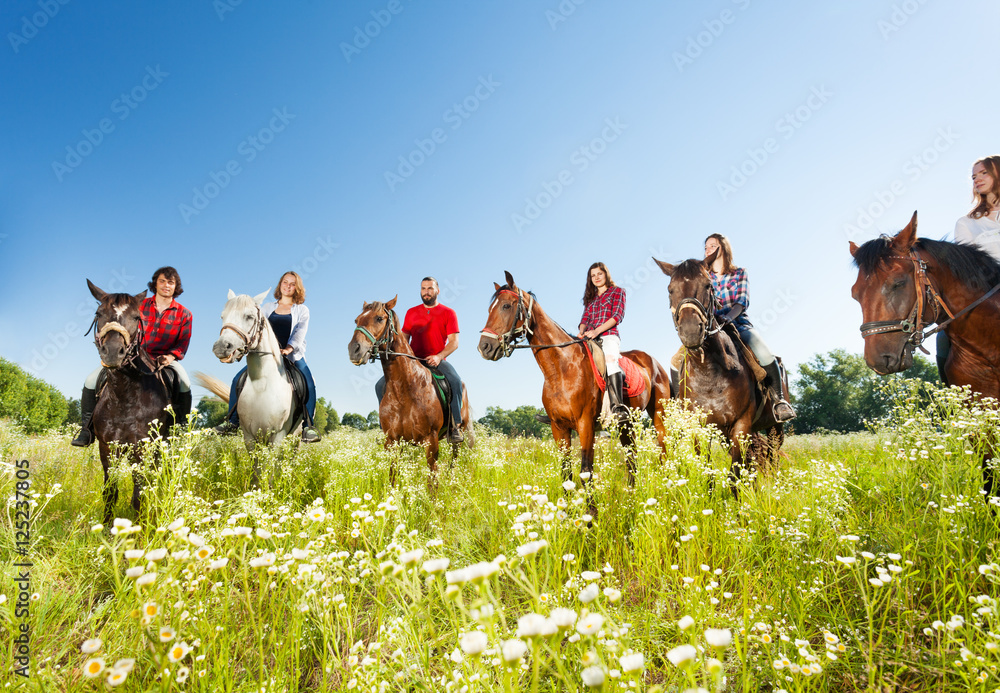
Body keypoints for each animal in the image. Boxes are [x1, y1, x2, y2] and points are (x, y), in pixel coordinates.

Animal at [86, 278, 176, 520]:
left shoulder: (143, 449)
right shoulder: (107, 447)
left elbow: (139, 495)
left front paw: (140, 527)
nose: (112, 352)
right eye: (98, 313)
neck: (124, 396)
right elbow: (110, 491)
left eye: (136, 317)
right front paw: (106, 526)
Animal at [348, 296, 476, 482]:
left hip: (458, 438)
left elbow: (432, 480)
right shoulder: (393, 441)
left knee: (453, 462)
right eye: (356, 320)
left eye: (379, 318)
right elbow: (393, 478)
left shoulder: (431, 442)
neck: (404, 389)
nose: (354, 350)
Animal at [476, 270, 672, 486]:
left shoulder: (585, 425)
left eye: (506, 306)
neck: (562, 369)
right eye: (490, 309)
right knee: (632, 457)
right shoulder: (559, 427)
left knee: (662, 452)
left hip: (658, 416)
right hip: (626, 424)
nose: (484, 347)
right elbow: (566, 473)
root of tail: (654, 362)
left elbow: (586, 472)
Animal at [656, 256, 788, 494]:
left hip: (775, 427)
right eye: (670, 289)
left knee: (772, 459)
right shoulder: (701, 428)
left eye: (708, 286)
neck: (709, 371)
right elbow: (709, 474)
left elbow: (734, 475)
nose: (691, 331)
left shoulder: (741, 424)